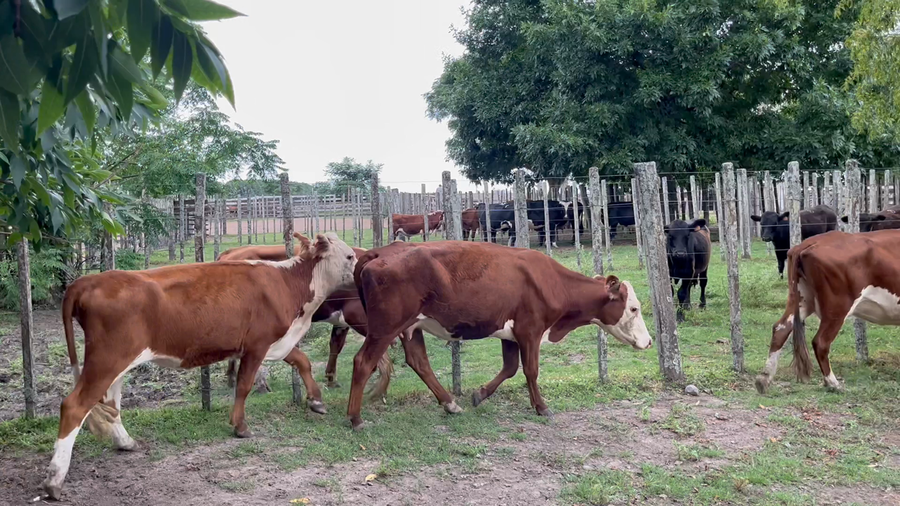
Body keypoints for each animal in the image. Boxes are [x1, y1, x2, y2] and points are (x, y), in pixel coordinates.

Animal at [41, 233, 357, 500]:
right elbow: (244, 385)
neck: (287, 283)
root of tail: (88, 281)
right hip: (107, 359)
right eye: (351, 256)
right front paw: (240, 426)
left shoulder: (275, 341)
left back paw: (125, 442)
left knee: (110, 402)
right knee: (74, 406)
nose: (361, 271)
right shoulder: (257, 344)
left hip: (117, 362)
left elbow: (302, 361)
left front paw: (316, 400)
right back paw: (55, 481)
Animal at [219, 235, 394, 398]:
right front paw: (379, 388)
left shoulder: (341, 321)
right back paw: (259, 384)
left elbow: (335, 346)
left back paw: (232, 378)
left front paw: (331, 378)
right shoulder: (356, 315)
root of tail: (230, 252)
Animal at [345, 241, 653, 430]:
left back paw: (450, 403)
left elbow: (510, 368)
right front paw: (541, 407)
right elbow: (530, 370)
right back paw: (355, 417)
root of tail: (380, 252)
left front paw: (480, 394)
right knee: (363, 362)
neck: (551, 281)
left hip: (411, 327)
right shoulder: (530, 329)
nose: (649, 341)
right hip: (385, 327)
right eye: (634, 308)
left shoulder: (511, 333)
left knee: (419, 361)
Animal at [754, 230, 900, 395]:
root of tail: (805, 245)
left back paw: (764, 378)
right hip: (837, 306)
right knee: (820, 342)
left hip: (800, 299)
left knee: (781, 328)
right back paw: (833, 383)